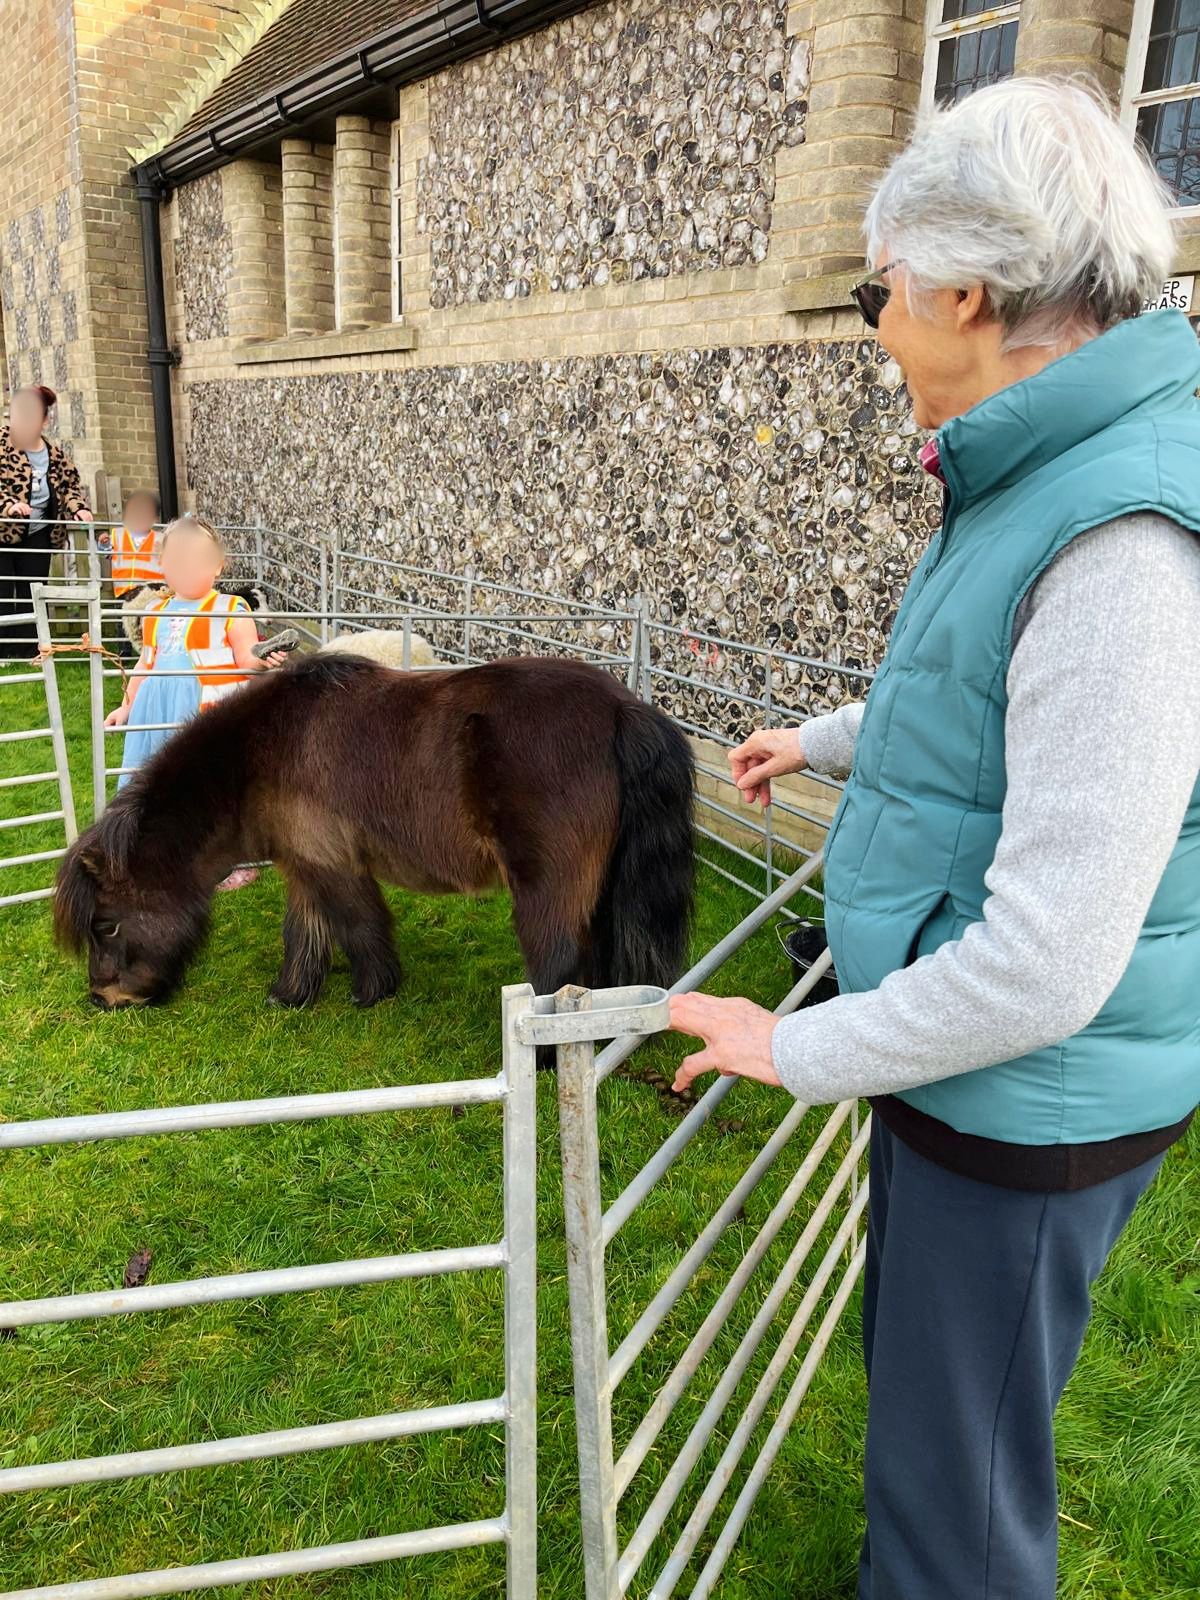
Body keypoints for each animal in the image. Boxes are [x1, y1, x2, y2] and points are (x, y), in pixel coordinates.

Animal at [54, 653, 695, 1018]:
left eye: (105, 925)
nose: (104, 999)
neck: (263, 752)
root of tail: (622, 709)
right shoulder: (306, 865)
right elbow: (304, 933)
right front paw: (291, 996)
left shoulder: (334, 866)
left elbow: (360, 927)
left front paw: (372, 992)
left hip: (546, 890)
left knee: (558, 962)